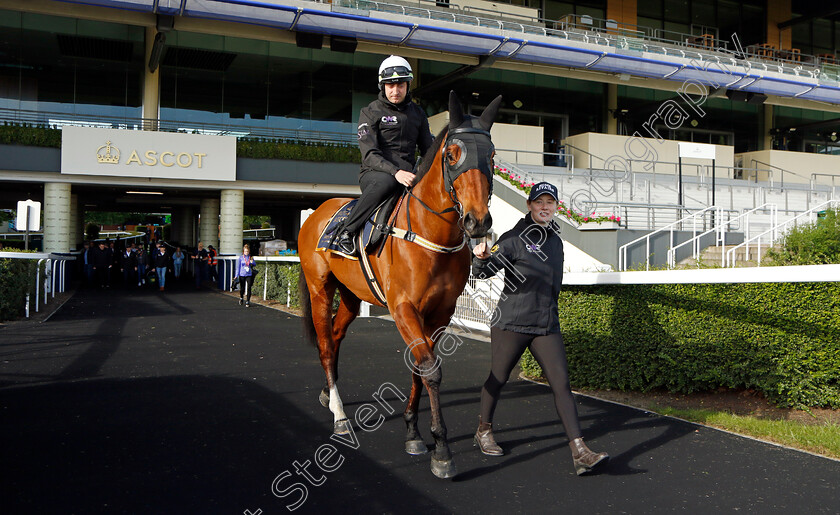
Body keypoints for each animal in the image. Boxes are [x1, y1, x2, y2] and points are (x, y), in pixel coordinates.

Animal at [298, 89, 502, 480]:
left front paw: (413, 432)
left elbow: (420, 366)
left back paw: (328, 394)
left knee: (335, 335)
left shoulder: (439, 313)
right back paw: (340, 416)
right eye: (452, 154)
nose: (478, 222)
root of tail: (317, 213)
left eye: (492, 156)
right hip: (320, 290)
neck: (427, 235)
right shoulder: (403, 308)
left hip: (351, 296)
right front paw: (442, 450)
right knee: (326, 345)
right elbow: (431, 369)